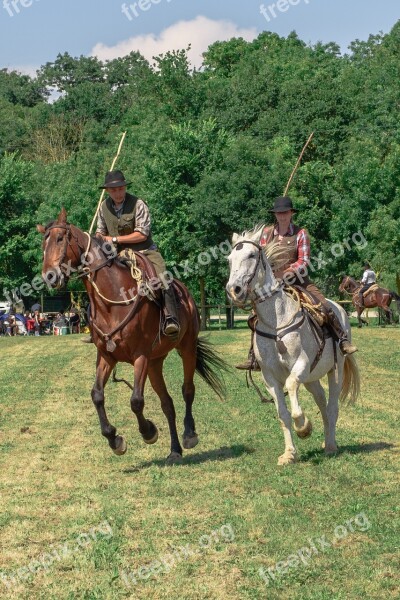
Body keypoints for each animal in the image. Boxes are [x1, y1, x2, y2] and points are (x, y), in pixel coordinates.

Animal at [38, 209, 228, 462]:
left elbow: (136, 401)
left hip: (186, 348)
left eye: (60, 239)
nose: (49, 276)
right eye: (44, 243)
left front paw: (148, 432)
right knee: (167, 403)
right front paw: (114, 439)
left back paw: (189, 435)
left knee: (187, 390)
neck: (113, 301)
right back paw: (175, 450)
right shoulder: (107, 356)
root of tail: (186, 294)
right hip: (156, 363)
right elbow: (97, 395)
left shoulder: (140, 356)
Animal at [225, 227, 360, 466]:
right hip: (312, 378)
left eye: (251, 255)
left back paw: (331, 446)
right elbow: (283, 414)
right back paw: (326, 440)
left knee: (332, 407)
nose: (234, 290)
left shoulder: (301, 364)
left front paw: (304, 428)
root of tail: (340, 309)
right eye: (230, 260)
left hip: (335, 371)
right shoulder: (269, 377)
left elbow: (291, 388)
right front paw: (289, 453)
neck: (276, 322)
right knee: (322, 403)